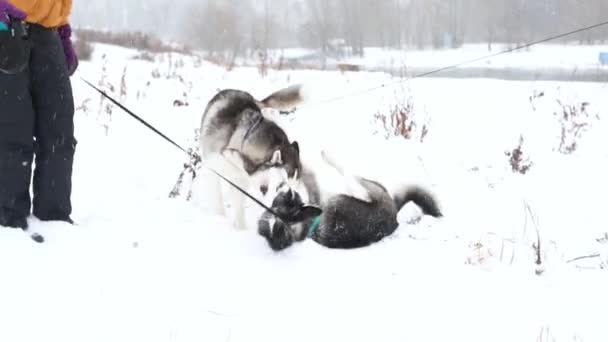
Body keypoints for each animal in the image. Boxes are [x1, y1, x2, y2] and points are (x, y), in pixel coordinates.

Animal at [198, 85, 306, 230]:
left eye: (294, 190)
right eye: (279, 186)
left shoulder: (240, 181)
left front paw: (239, 228)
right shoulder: (214, 168)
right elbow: (217, 199)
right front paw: (220, 218)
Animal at [256, 152, 442, 251]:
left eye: (283, 200)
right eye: (288, 200)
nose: (289, 191)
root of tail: (394, 217)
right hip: (367, 189)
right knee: (349, 174)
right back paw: (327, 155)